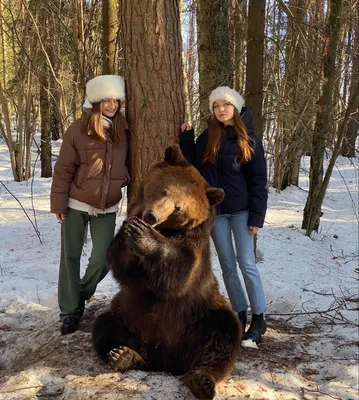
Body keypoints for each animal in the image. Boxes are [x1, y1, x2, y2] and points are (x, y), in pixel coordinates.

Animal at [93, 145, 242, 400]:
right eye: (164, 190)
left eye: (179, 208)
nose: (151, 217)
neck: (167, 231)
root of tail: (166, 359)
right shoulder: (134, 280)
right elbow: (122, 266)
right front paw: (130, 229)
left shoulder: (194, 246)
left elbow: (180, 271)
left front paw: (143, 236)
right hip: (128, 316)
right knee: (103, 327)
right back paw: (123, 355)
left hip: (200, 317)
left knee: (224, 335)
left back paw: (201, 381)